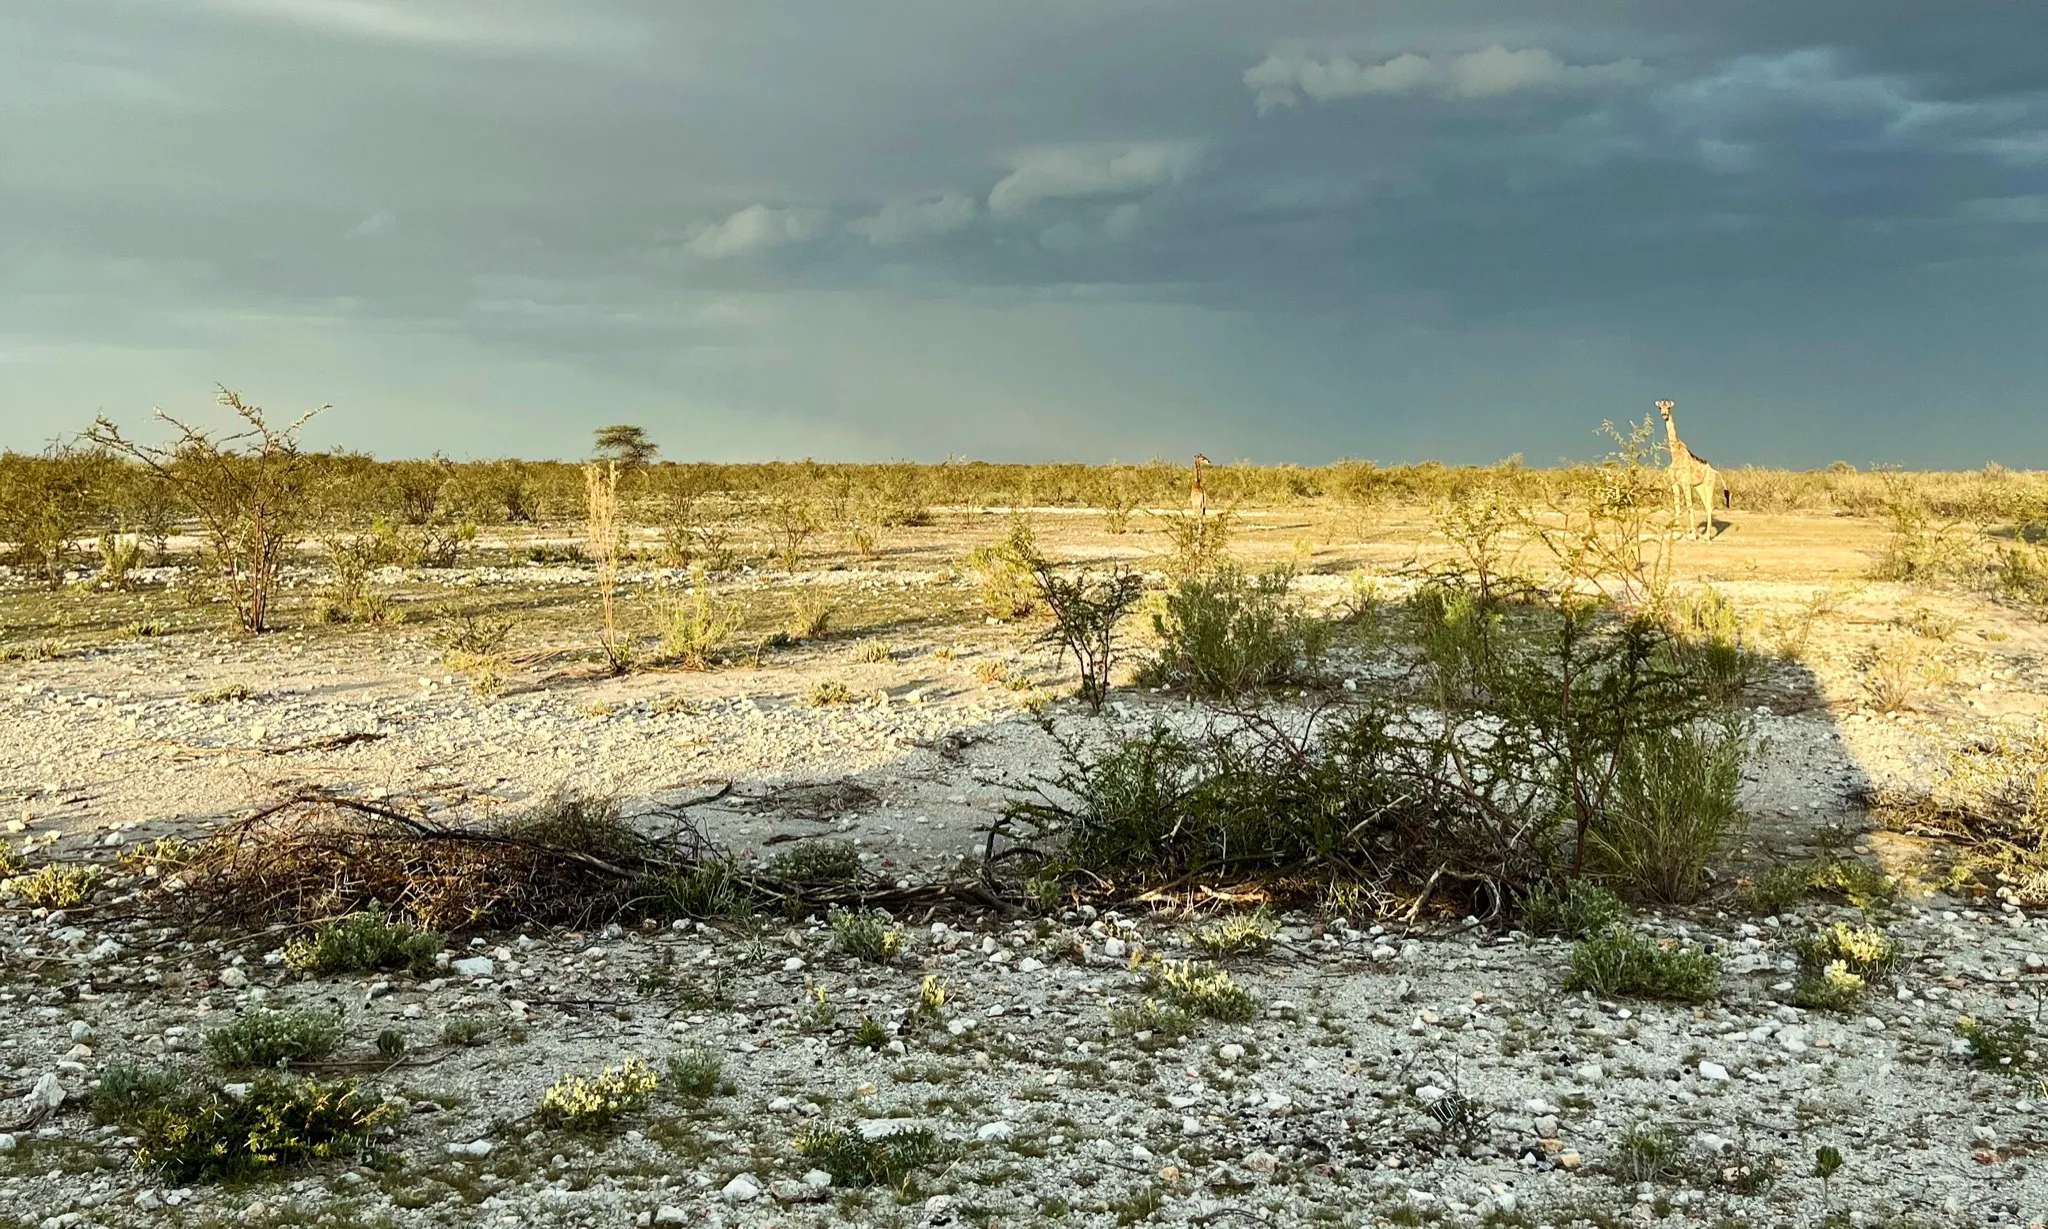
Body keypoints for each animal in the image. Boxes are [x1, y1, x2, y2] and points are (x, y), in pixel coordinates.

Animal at [1657, 400, 1722, 540]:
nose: (1664, 415)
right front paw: (1674, 533)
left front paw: (1692, 534)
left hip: (1709, 484)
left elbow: (1689, 507)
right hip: (1699, 487)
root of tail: (1714, 471)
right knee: (1707, 507)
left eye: (1669, 407)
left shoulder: (1685, 483)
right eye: (1660, 407)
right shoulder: (1674, 484)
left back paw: (1707, 536)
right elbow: (1677, 508)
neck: (1675, 454)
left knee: (1710, 506)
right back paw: (1705, 535)